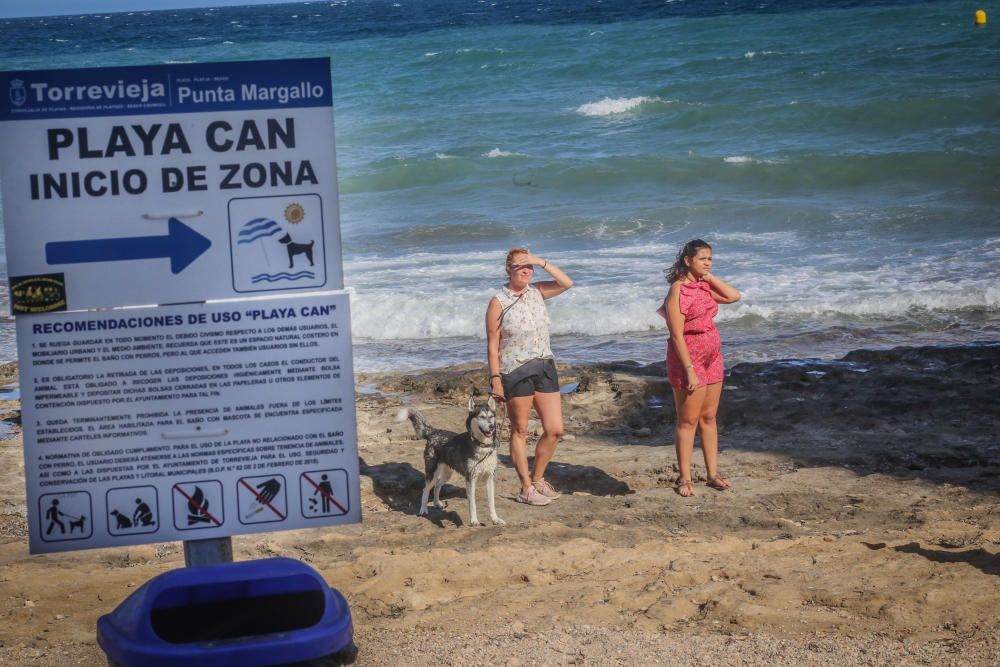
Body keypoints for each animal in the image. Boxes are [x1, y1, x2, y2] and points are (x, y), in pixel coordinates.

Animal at [400, 396, 504, 528]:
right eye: (481, 417)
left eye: (491, 416)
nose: (491, 426)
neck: (482, 446)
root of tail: (434, 432)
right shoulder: (470, 479)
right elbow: (472, 503)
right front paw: (474, 521)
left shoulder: (490, 478)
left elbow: (492, 502)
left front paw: (495, 519)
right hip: (432, 473)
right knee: (426, 490)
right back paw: (423, 510)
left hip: (447, 474)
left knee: (437, 485)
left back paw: (437, 503)